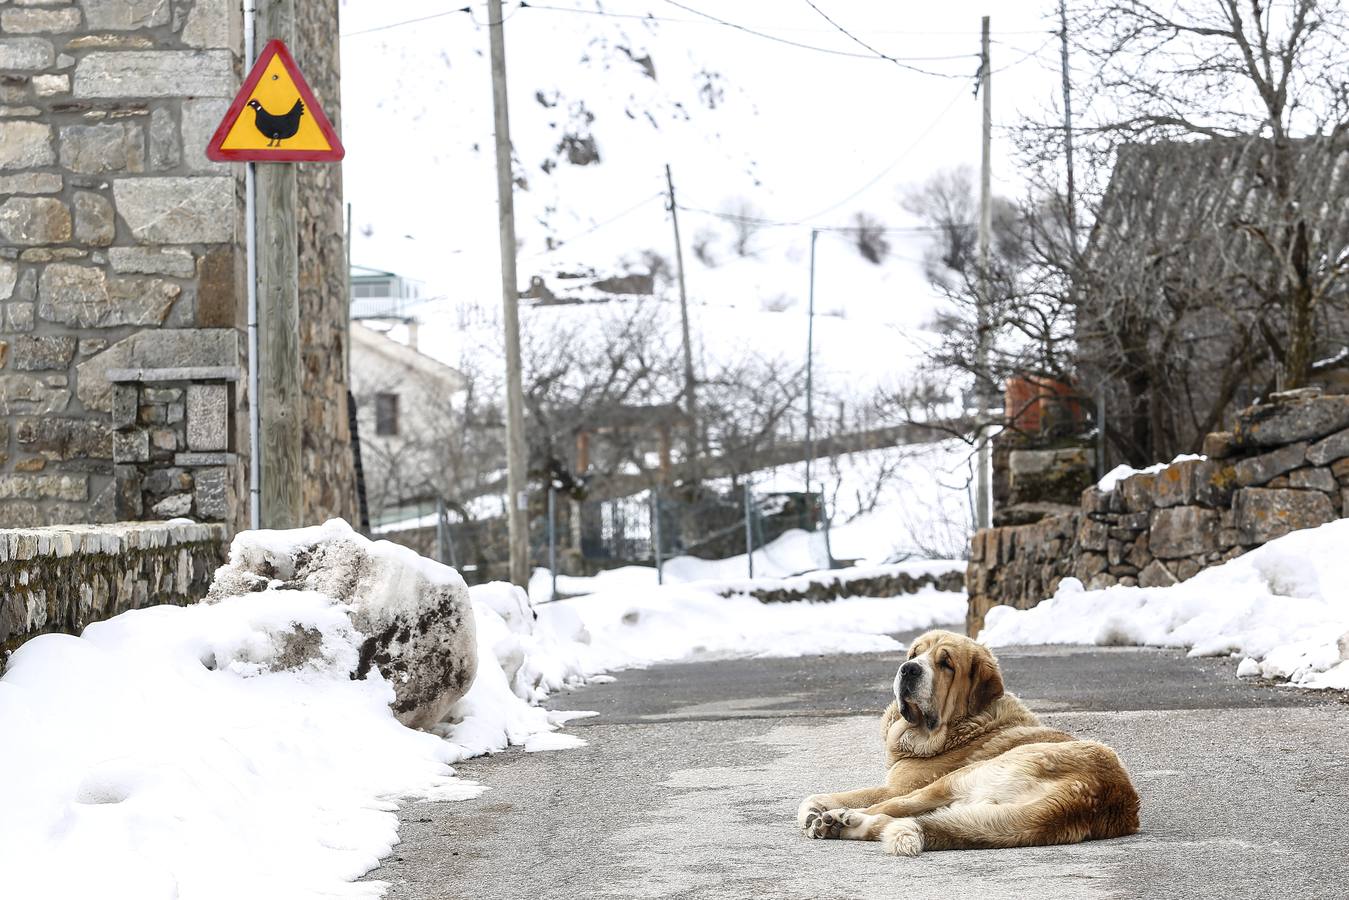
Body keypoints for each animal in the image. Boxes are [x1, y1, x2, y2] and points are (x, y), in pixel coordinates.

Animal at [793, 631, 1143, 858]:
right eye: (914, 653)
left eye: (946, 663)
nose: (909, 669)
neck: (964, 724)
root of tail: (1085, 799)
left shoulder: (899, 786)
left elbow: (849, 794)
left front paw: (814, 809)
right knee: (892, 821)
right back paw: (837, 825)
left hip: (954, 780)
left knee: (886, 810)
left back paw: (835, 819)